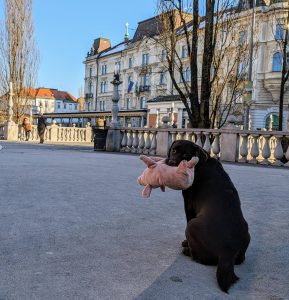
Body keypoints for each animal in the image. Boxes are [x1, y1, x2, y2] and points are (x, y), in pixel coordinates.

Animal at [166, 141, 250, 292]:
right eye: (174, 150)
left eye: (186, 155)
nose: (171, 162)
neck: (201, 162)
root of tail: (227, 251)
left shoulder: (188, 204)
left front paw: (185, 242)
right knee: (240, 259)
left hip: (192, 226)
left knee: (201, 258)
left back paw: (187, 251)